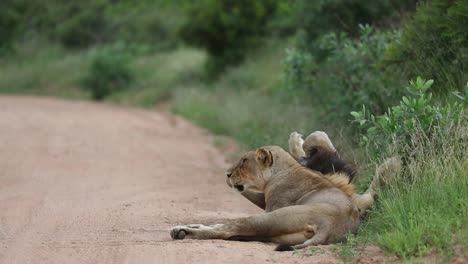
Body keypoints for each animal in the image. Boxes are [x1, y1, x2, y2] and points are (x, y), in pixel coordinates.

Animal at [170, 131, 400, 251]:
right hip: (275, 233)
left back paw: (182, 232)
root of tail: (329, 227)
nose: (227, 174)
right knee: (229, 229)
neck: (287, 168)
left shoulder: (271, 206)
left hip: (271, 218)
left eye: (244, 161)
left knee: (228, 228)